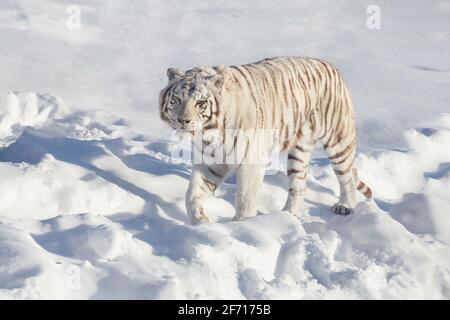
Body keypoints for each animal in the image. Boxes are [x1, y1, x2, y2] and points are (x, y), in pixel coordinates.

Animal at [160, 55, 370, 225]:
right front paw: (200, 222)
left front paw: (241, 227)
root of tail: (332, 66)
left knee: (347, 177)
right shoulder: (211, 161)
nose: (183, 120)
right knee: (299, 186)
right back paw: (286, 217)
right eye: (177, 99)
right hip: (299, 151)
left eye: (201, 102)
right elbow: (191, 194)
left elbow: (245, 200)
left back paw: (345, 206)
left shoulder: (250, 161)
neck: (210, 133)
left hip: (338, 141)